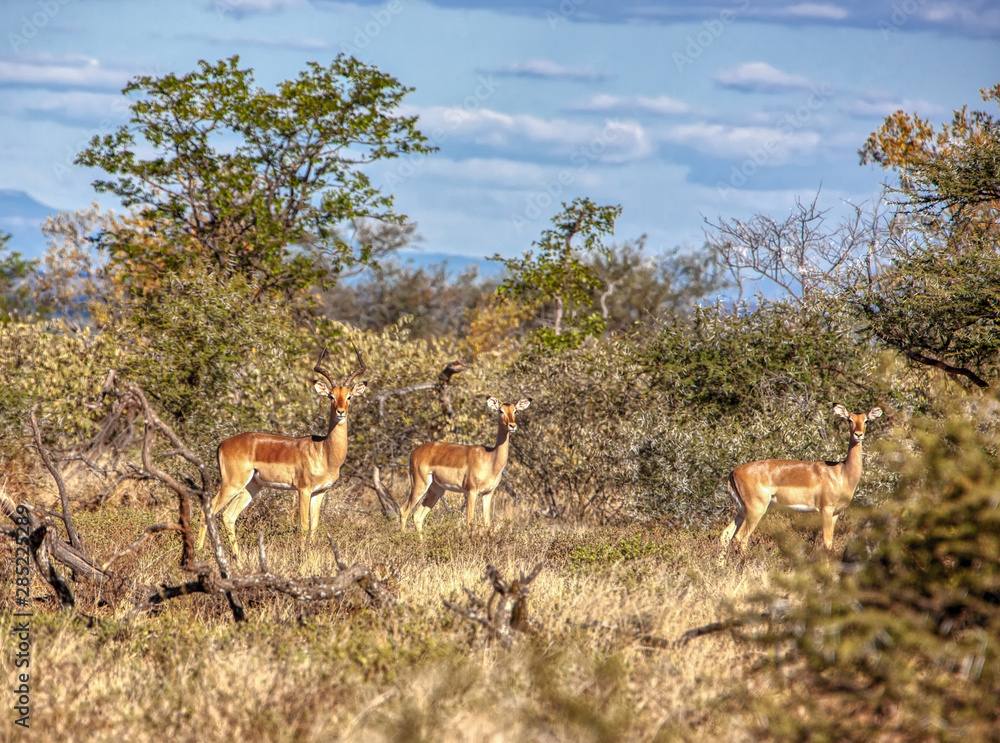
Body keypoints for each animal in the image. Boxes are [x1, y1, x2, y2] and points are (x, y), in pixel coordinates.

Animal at [196, 344, 368, 557]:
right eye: (331, 396)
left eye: (349, 396)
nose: (340, 412)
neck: (324, 451)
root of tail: (223, 443)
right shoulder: (303, 490)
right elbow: (303, 525)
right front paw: (302, 559)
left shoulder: (320, 493)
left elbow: (314, 527)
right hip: (232, 484)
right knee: (208, 509)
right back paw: (199, 553)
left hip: (252, 486)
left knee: (228, 516)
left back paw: (238, 558)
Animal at [400, 396, 530, 535]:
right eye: (500, 410)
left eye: (515, 411)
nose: (512, 425)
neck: (490, 459)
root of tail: (413, 452)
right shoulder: (471, 491)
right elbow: (470, 523)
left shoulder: (488, 493)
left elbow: (487, 524)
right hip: (419, 485)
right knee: (404, 510)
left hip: (436, 489)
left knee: (417, 516)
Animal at [720, 404, 883, 560]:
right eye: (849, 419)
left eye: (866, 420)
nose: (858, 435)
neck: (842, 472)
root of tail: (733, 472)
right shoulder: (826, 510)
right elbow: (827, 544)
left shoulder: (836, 513)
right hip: (755, 510)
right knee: (741, 538)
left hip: (742, 511)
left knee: (725, 535)